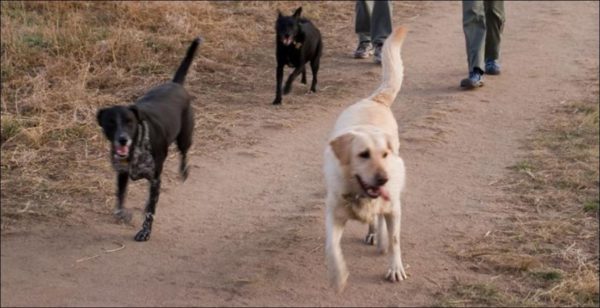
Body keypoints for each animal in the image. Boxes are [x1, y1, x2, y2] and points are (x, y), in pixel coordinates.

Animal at [96, 37, 202, 242]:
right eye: (110, 122)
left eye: (129, 122)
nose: (122, 139)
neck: (136, 147)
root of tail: (176, 84)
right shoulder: (122, 174)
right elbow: (119, 201)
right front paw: (124, 215)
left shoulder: (155, 180)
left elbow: (150, 212)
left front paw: (144, 232)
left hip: (184, 137)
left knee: (184, 153)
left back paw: (184, 171)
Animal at [324, 27, 408, 292]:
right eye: (363, 154)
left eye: (385, 154)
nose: (383, 179)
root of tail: (374, 100)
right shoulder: (334, 215)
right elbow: (332, 248)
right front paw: (338, 276)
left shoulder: (394, 209)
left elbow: (395, 240)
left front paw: (395, 268)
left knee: (380, 221)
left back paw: (378, 237)